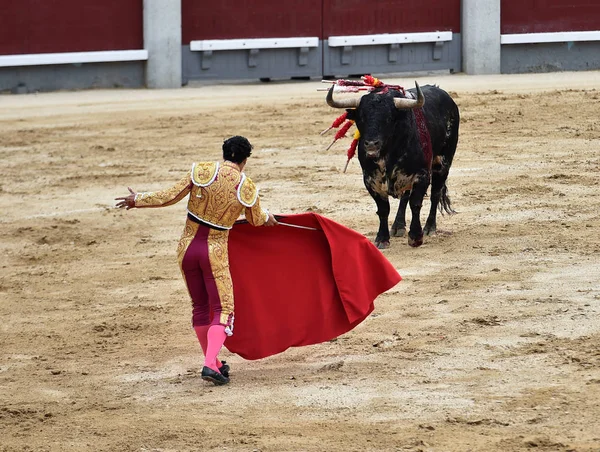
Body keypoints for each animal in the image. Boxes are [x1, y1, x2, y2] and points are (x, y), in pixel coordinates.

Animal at [328, 83, 460, 249]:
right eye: (361, 117)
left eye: (389, 118)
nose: (371, 144)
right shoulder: (370, 180)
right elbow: (383, 209)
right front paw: (382, 238)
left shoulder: (422, 175)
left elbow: (415, 204)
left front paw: (415, 237)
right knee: (405, 196)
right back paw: (398, 226)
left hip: (443, 162)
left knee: (435, 194)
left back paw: (430, 227)